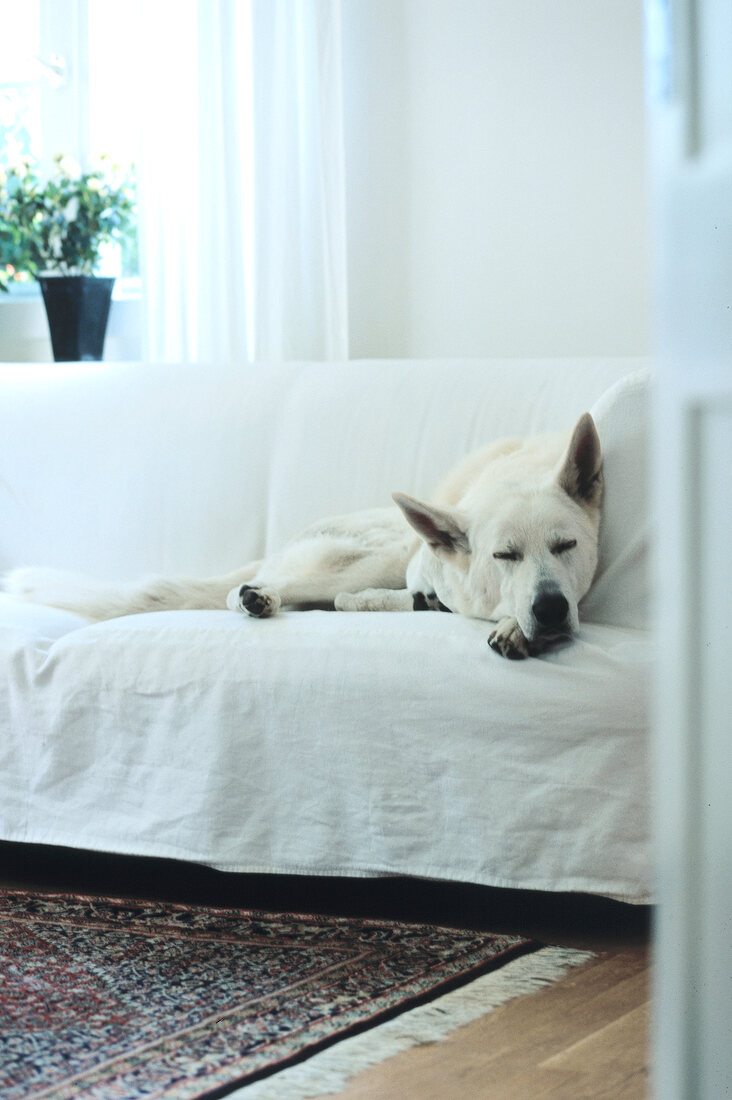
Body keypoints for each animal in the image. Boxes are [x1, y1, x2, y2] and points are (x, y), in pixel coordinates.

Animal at [4, 411, 598, 651]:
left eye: (566, 546)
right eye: (504, 555)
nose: (549, 609)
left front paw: (518, 626)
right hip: (373, 555)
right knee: (284, 591)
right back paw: (258, 596)